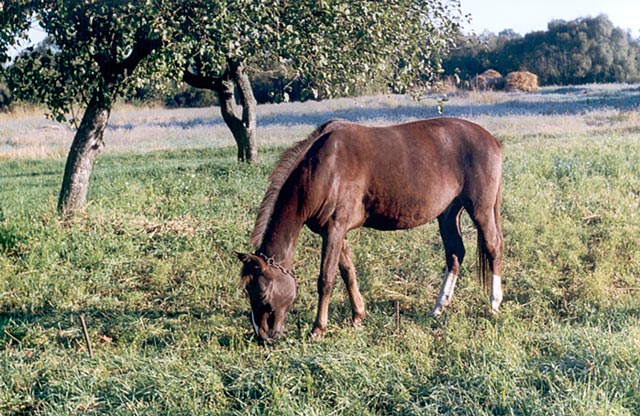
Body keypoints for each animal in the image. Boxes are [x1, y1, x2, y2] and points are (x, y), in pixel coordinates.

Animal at [235, 116, 504, 342]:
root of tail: (492, 139)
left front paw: (318, 328)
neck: (323, 168)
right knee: (455, 254)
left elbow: (326, 279)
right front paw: (358, 316)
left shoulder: (335, 230)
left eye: (261, 294)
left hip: (480, 209)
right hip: (448, 213)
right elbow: (348, 272)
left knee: (493, 248)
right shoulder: (335, 232)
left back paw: (493, 304)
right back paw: (438, 307)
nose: (263, 336)